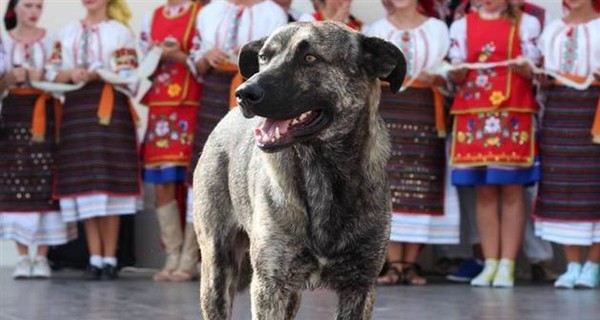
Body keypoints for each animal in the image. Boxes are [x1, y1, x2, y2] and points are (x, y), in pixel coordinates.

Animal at [195, 21, 406, 318]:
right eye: (263, 57)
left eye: (310, 58)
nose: (244, 93)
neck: (320, 170)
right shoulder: (269, 284)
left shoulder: (360, 287)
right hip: (217, 268)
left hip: (291, 292)